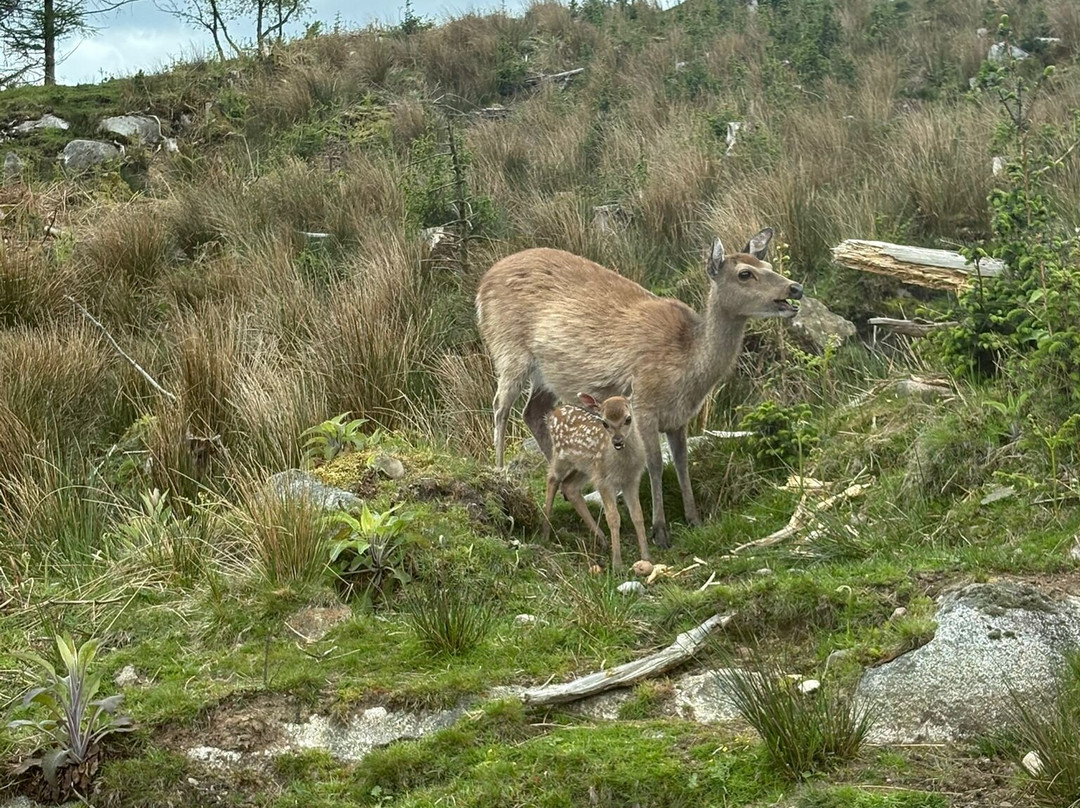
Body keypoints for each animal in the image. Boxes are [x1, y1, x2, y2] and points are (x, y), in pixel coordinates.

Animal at [476, 227, 802, 549]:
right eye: (745, 273)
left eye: (768, 264)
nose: (795, 288)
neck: (687, 370)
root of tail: (481, 287)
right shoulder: (643, 403)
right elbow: (656, 463)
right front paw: (661, 531)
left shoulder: (679, 417)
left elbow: (682, 461)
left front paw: (694, 518)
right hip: (508, 349)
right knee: (500, 407)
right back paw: (501, 476)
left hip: (549, 375)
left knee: (533, 412)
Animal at [541, 392, 649, 570]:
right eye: (605, 422)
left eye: (628, 419)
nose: (617, 441)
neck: (623, 466)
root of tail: (553, 413)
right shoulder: (604, 481)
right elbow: (613, 518)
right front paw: (617, 564)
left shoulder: (632, 479)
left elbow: (637, 515)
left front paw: (646, 556)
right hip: (562, 456)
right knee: (552, 479)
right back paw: (545, 533)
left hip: (585, 468)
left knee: (569, 487)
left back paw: (602, 540)